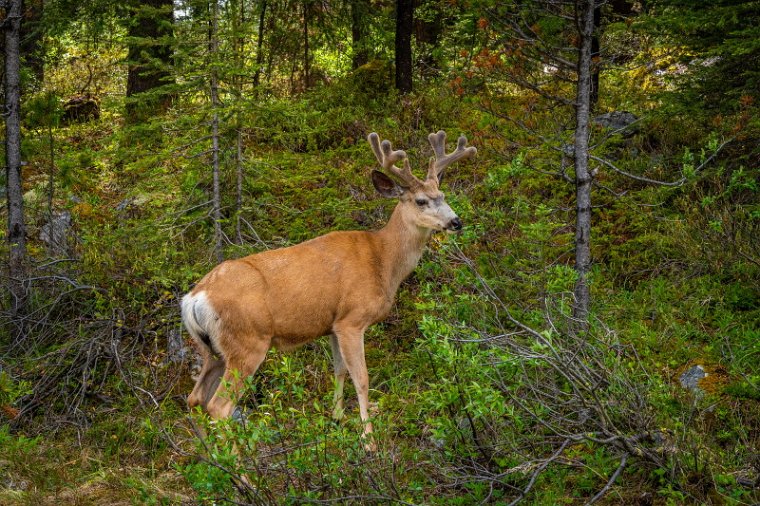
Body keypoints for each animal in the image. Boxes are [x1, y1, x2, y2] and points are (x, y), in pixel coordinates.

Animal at [181, 130, 476, 446]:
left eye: (442, 195)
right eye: (421, 201)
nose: (456, 221)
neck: (383, 260)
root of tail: (194, 298)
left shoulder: (332, 324)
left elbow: (339, 371)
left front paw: (337, 419)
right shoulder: (352, 319)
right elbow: (362, 378)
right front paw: (368, 440)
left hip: (212, 349)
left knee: (194, 399)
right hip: (246, 342)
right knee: (219, 406)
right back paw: (240, 461)